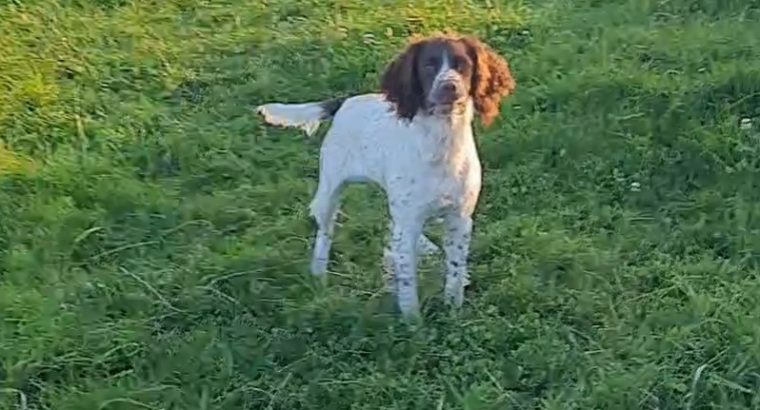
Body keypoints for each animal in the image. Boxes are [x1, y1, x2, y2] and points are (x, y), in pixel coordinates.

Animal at [256, 33, 516, 318]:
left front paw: (452, 309)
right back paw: (318, 276)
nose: (450, 86)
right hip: (329, 192)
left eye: (463, 65)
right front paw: (413, 321)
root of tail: (343, 102)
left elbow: (455, 272)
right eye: (428, 65)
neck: (441, 142)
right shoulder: (409, 221)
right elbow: (408, 279)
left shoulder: (459, 219)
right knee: (324, 234)